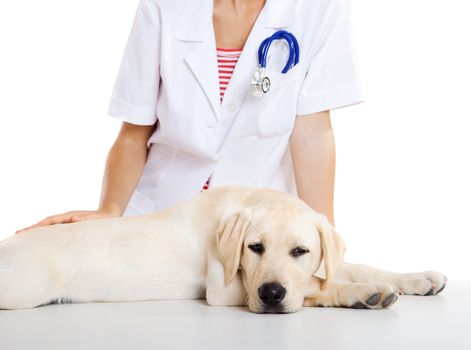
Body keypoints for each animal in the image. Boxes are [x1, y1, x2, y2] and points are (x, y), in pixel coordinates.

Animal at [0, 187, 446, 314]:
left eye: (300, 251)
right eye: (254, 248)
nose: (271, 295)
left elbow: (350, 266)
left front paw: (418, 278)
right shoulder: (226, 289)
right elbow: (319, 288)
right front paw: (362, 294)